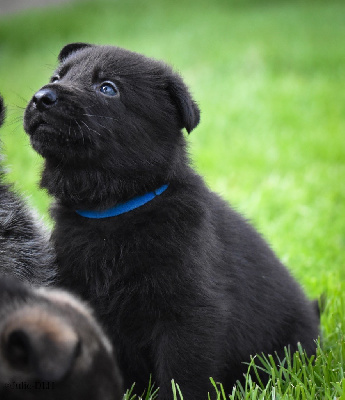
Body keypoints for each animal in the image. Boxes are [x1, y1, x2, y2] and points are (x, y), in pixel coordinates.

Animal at [24, 42, 320, 398]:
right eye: (57, 77)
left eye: (107, 88)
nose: (42, 96)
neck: (111, 211)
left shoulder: (189, 313)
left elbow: (183, 374)